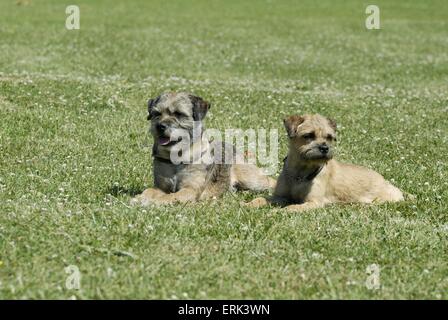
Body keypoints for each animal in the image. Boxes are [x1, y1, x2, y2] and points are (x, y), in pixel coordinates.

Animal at [130, 92, 276, 206]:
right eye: (156, 113)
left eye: (179, 114)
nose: (160, 126)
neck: (176, 157)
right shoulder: (160, 187)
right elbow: (149, 191)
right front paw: (140, 198)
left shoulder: (190, 190)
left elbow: (170, 196)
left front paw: (153, 201)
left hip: (252, 179)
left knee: (270, 181)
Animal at [247, 114, 404, 211]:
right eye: (308, 135)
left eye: (329, 137)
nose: (324, 148)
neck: (300, 172)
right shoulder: (280, 196)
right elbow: (261, 198)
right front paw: (248, 204)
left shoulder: (313, 202)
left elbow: (292, 207)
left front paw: (278, 212)